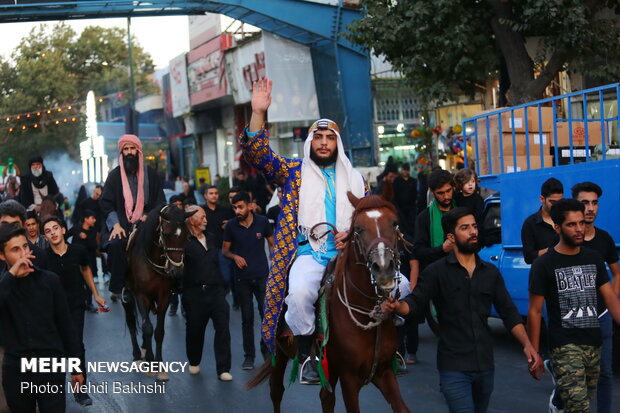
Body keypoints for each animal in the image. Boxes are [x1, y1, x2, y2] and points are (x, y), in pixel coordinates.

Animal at [122, 205, 195, 380]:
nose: (177, 271)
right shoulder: (141, 296)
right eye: (166, 234)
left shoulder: (164, 297)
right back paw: (137, 354)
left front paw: (159, 365)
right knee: (131, 322)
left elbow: (159, 332)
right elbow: (147, 327)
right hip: (128, 297)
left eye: (187, 235)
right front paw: (150, 362)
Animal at [247, 194, 412, 412]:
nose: (383, 268)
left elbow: (402, 407)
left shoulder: (384, 372)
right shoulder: (349, 378)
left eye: (394, 223)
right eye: (358, 228)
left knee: (326, 398)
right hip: (279, 354)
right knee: (276, 391)